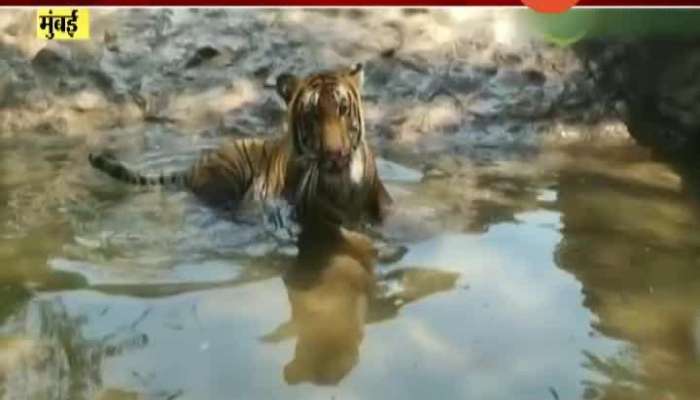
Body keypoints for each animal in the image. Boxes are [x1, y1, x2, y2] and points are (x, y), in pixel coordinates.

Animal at [87, 62, 392, 231]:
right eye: (312, 115)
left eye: (343, 109)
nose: (335, 155)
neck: (344, 184)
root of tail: (194, 166)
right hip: (229, 176)